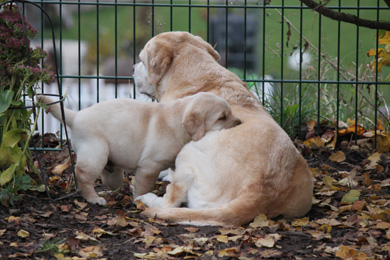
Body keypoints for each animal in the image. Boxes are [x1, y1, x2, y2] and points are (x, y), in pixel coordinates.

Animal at [39, 93, 241, 205]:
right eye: (222, 117)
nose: (240, 123)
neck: (178, 123)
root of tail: (76, 116)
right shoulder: (150, 166)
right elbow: (144, 186)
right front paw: (141, 199)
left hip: (112, 168)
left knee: (110, 179)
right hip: (95, 154)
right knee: (83, 175)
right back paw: (94, 198)